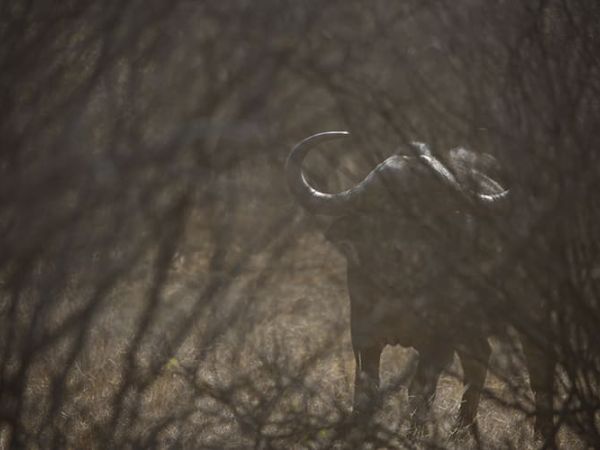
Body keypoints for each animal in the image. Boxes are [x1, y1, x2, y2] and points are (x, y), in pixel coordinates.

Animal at [286, 132, 556, 442]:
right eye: (383, 207)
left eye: (429, 210)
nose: (402, 249)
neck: (401, 287)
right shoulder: (363, 333)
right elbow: (366, 388)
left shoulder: (440, 340)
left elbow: (419, 391)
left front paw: (414, 436)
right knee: (479, 359)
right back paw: (460, 431)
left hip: (532, 311)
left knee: (539, 370)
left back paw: (542, 433)